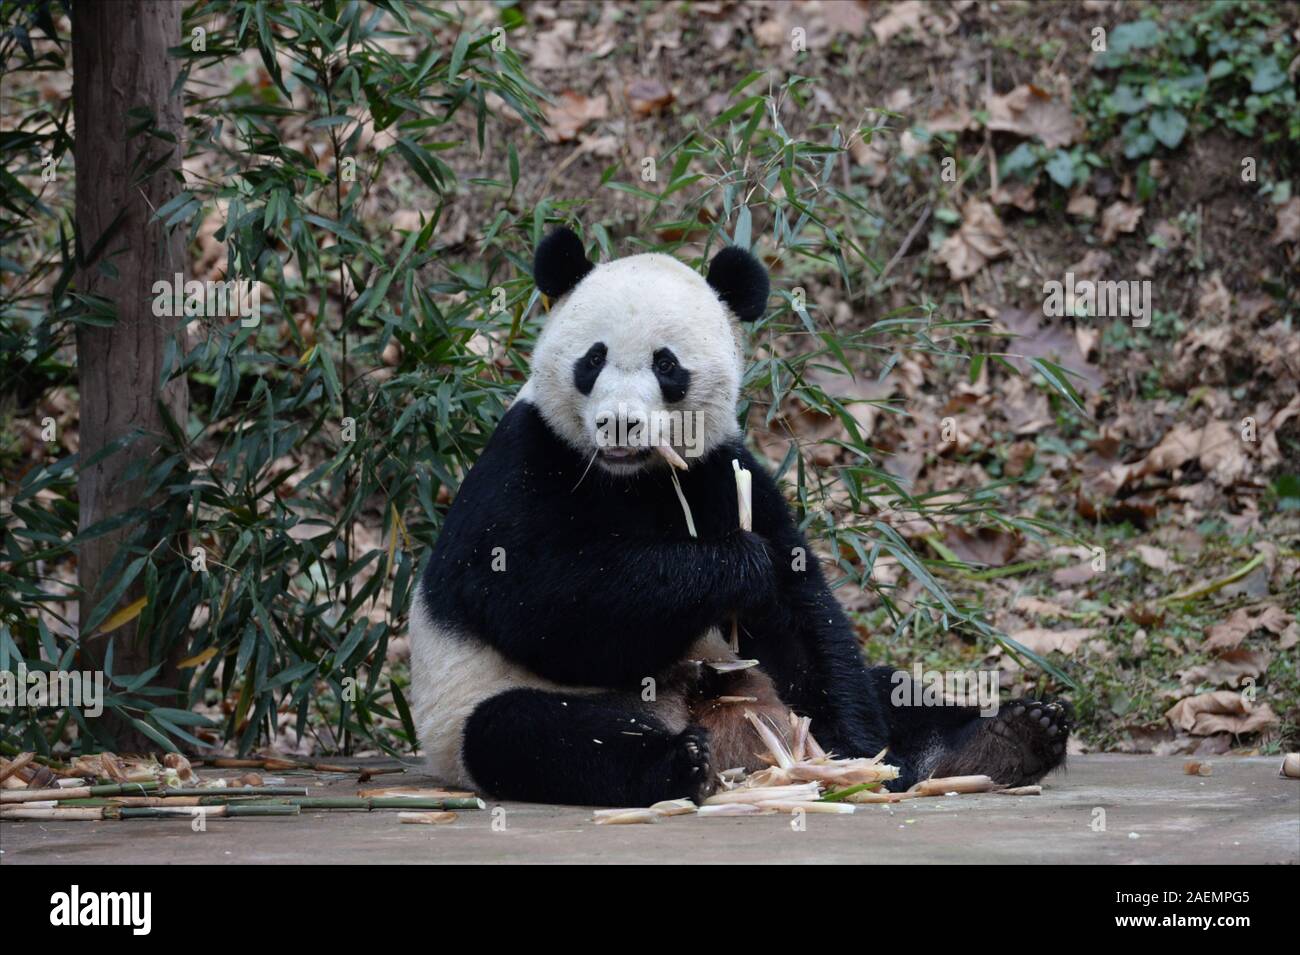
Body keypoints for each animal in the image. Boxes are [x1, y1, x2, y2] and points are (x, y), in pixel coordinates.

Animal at [410, 229, 1071, 805]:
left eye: (667, 365)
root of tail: (692, 714)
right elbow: (533, 598)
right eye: (592, 359)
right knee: (535, 736)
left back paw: (1005, 740)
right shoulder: (527, 459)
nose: (619, 424)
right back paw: (676, 764)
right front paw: (734, 566)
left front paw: (854, 755)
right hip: (480, 713)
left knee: (892, 686)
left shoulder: (723, 468)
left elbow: (806, 616)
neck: (632, 476)